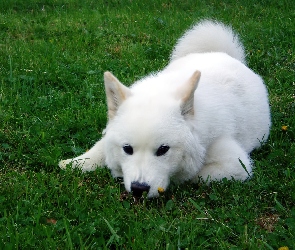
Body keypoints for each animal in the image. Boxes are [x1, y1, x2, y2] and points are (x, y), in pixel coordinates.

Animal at [59, 20, 272, 197]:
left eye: (163, 150)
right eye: (127, 149)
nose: (139, 189)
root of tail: (223, 54)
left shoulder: (236, 164)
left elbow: (195, 175)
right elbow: (99, 147)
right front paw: (75, 163)